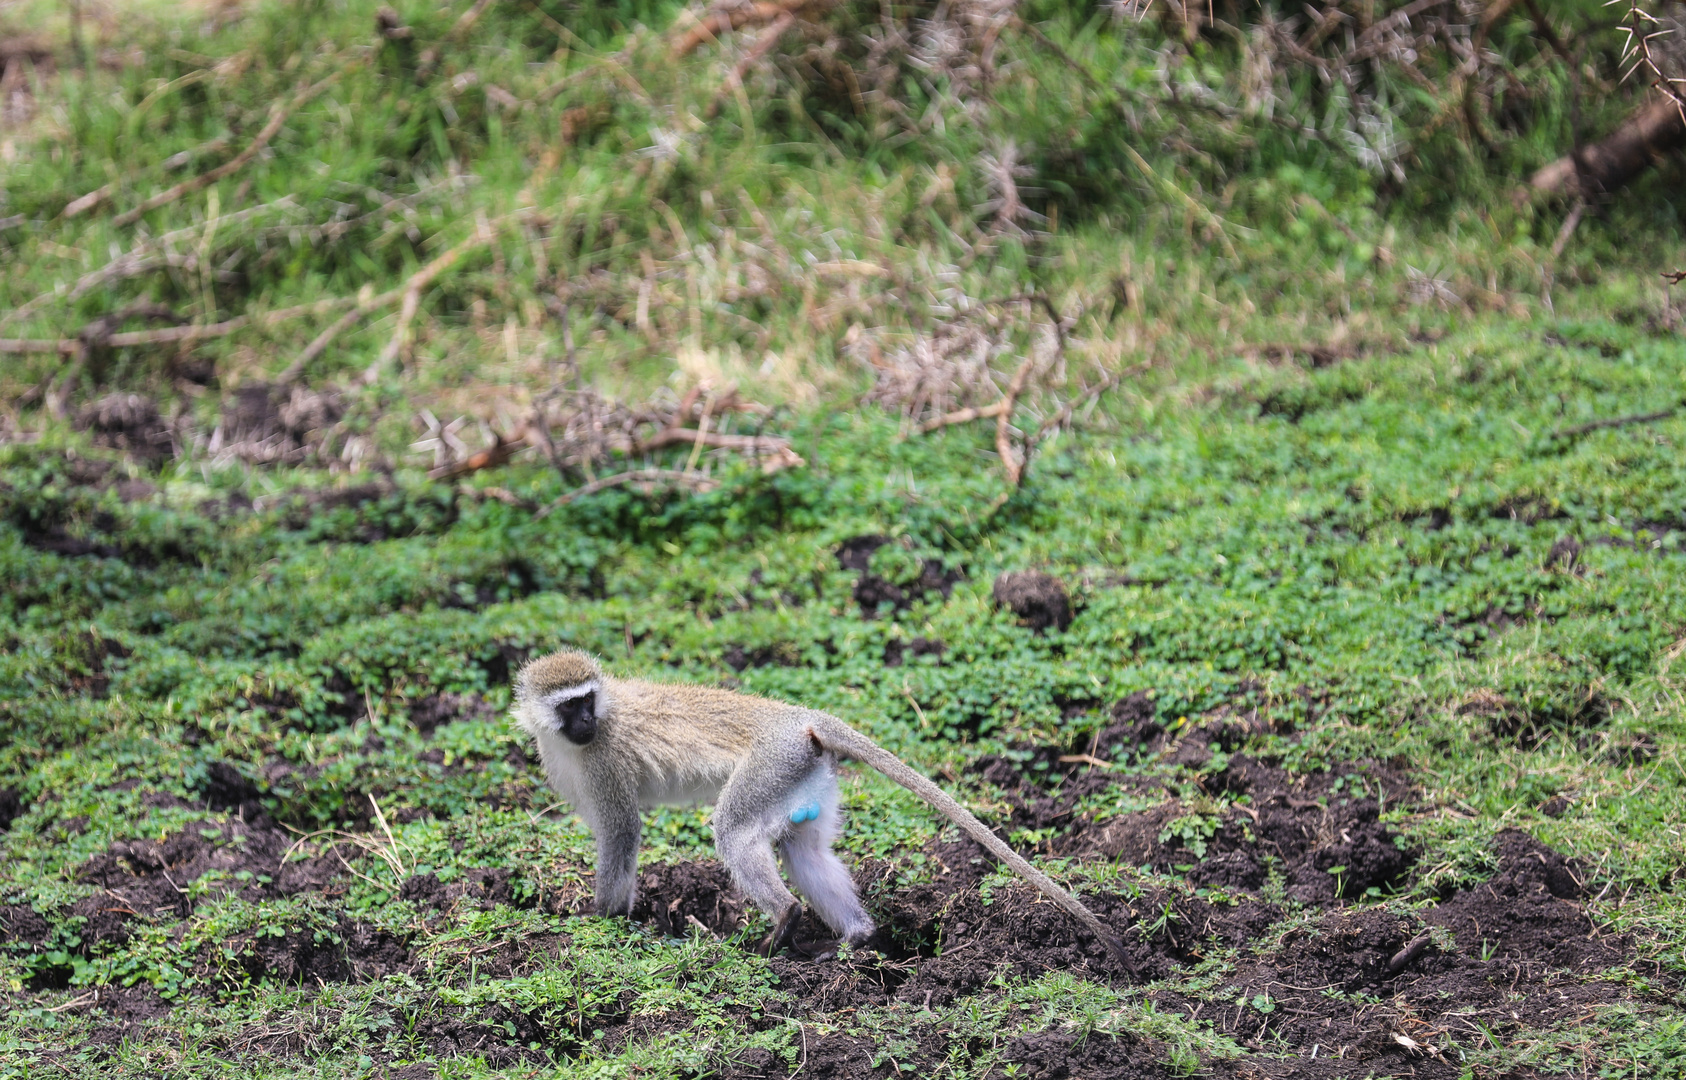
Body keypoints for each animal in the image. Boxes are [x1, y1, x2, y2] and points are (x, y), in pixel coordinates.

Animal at [505, 646, 1126, 957]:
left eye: (587, 701)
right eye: (569, 705)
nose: (586, 722)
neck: (571, 740)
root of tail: (799, 717)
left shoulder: (603, 763)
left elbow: (621, 832)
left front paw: (605, 922)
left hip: (770, 764)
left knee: (734, 831)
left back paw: (785, 918)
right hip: (804, 775)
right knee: (804, 851)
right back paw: (855, 940)